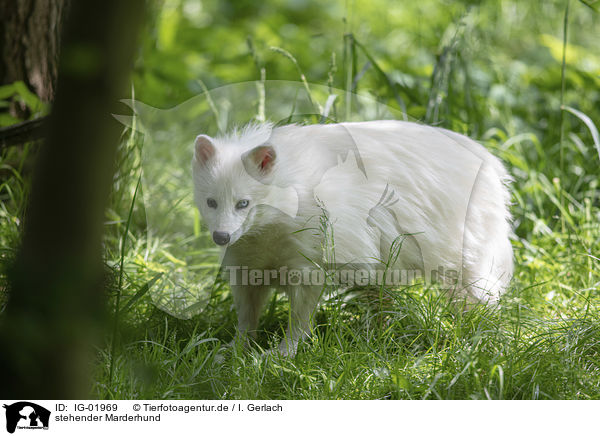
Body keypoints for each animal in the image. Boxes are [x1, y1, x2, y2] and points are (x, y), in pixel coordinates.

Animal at [191, 121, 510, 356]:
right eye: (211, 202)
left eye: (243, 203)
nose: (221, 236)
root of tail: (491, 164)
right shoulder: (245, 265)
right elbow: (246, 316)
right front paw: (235, 350)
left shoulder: (310, 262)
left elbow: (300, 318)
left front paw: (283, 354)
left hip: (463, 254)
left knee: (482, 296)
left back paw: (480, 338)